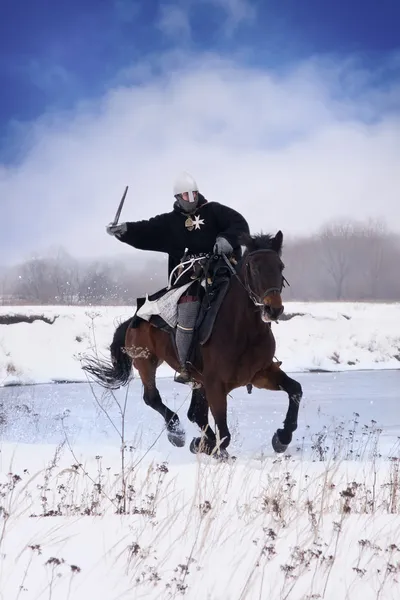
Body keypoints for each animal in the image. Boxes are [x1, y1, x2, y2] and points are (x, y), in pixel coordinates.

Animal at [79, 231, 302, 460]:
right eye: (254, 268)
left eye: (280, 266)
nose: (273, 309)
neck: (243, 331)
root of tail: (135, 317)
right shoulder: (215, 385)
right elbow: (224, 435)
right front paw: (205, 446)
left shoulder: (260, 374)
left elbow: (295, 390)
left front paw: (282, 438)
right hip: (146, 361)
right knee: (153, 398)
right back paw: (177, 433)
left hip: (195, 379)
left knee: (195, 413)